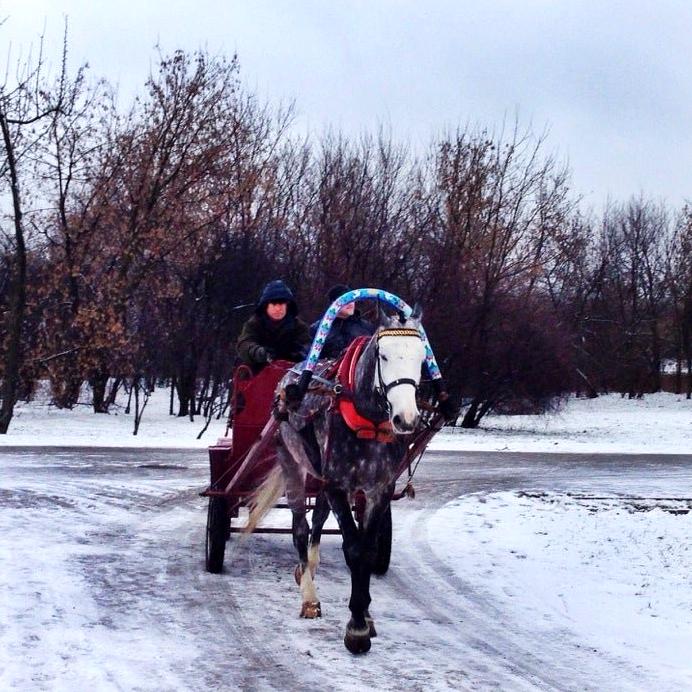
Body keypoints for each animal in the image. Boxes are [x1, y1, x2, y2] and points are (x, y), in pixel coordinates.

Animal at [243, 308, 428, 656]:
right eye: (383, 355)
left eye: (422, 358)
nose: (406, 419)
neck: (367, 420)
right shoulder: (338, 485)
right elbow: (352, 548)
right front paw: (356, 628)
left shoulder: (378, 490)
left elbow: (367, 549)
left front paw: (365, 614)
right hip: (293, 463)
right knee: (301, 528)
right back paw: (309, 596)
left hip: (322, 479)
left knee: (317, 520)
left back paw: (310, 568)